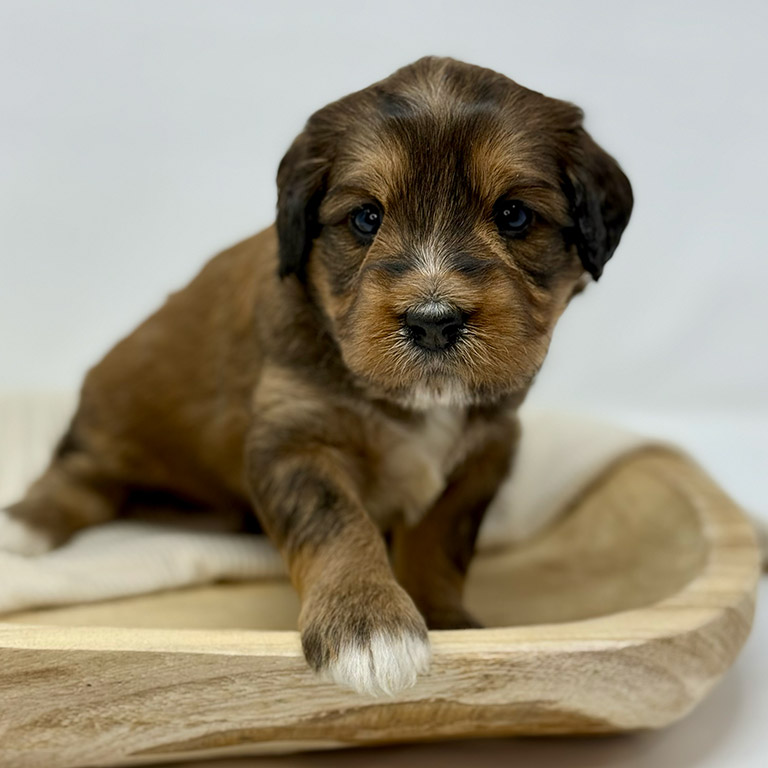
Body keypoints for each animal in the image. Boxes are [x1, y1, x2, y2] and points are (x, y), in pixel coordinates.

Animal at [0, 57, 632, 696]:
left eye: (514, 215)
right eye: (366, 218)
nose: (432, 322)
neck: (416, 400)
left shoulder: (485, 452)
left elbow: (440, 541)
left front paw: (445, 618)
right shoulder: (295, 438)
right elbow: (336, 523)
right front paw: (369, 627)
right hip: (113, 423)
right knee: (79, 478)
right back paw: (21, 530)